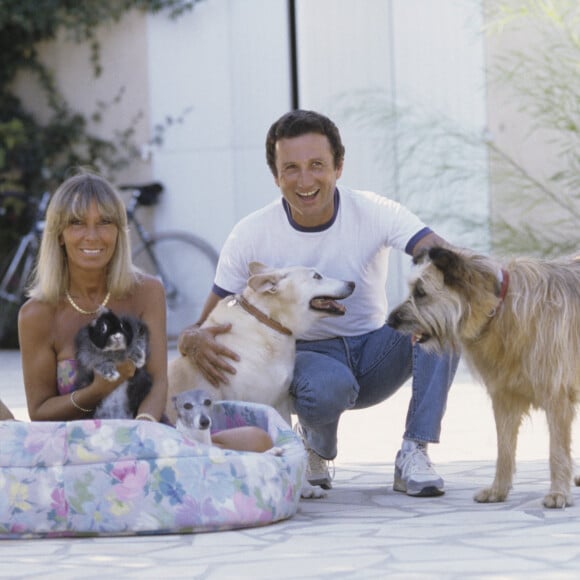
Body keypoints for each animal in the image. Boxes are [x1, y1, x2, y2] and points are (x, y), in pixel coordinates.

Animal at [388, 245, 580, 508]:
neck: (500, 308)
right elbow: (504, 448)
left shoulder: (556, 395)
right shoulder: (504, 397)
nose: (389, 321)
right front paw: (497, 490)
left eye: (421, 292)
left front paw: (558, 492)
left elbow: (557, 451)